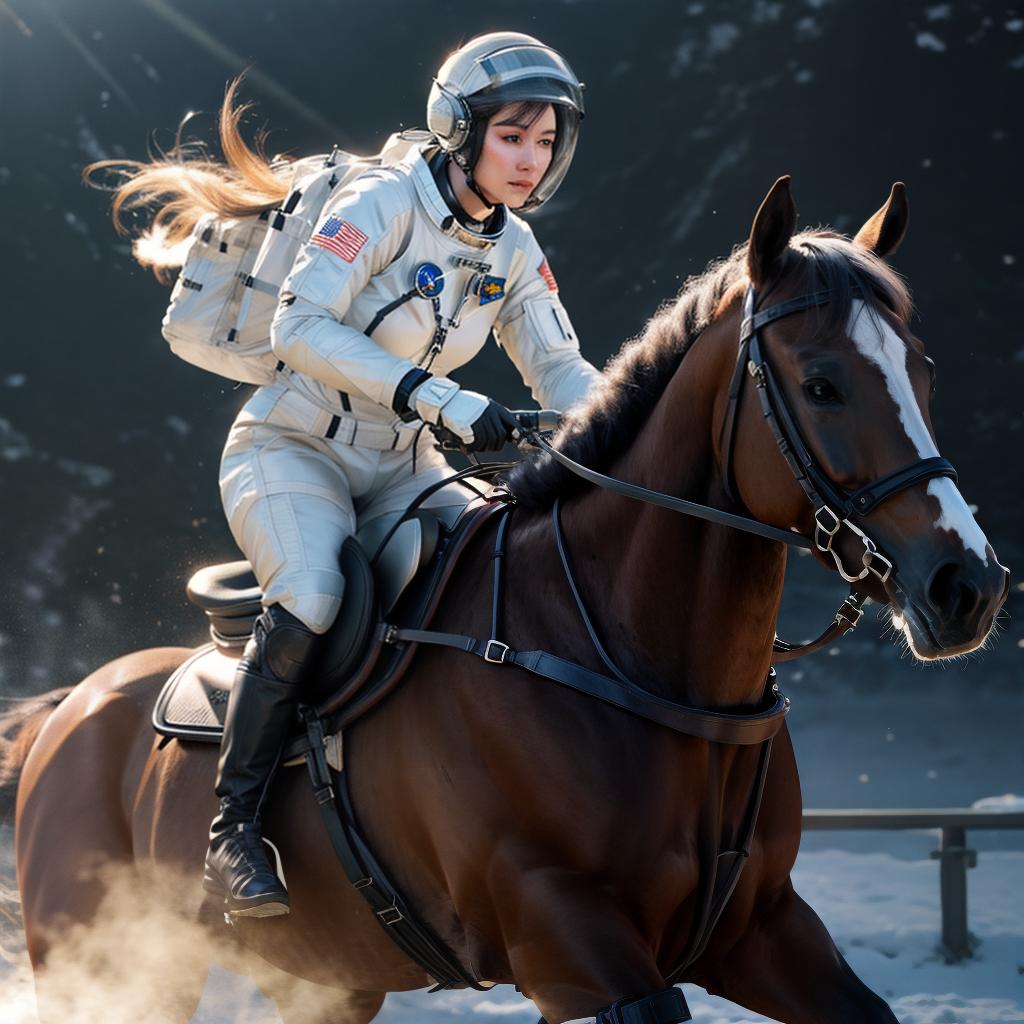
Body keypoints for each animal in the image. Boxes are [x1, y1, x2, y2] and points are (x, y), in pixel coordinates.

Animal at [2, 180, 1007, 1019]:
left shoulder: (763, 929)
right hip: (113, 966)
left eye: (920, 371)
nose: (970, 586)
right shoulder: (573, 946)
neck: (622, 655)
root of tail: (76, 704)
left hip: (326, 983)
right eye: (822, 384)